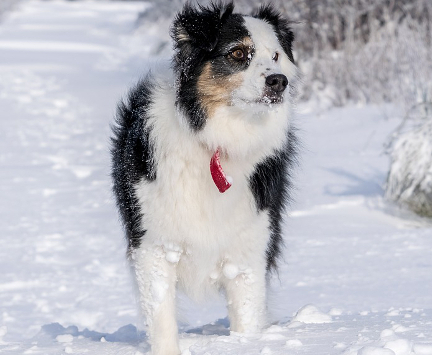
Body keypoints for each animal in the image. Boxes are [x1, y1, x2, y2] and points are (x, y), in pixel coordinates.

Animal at [110, 1, 296, 354]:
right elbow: (162, 319)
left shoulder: (250, 249)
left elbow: (247, 318)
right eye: (238, 53)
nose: (279, 82)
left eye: (276, 56)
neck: (218, 140)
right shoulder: (153, 245)